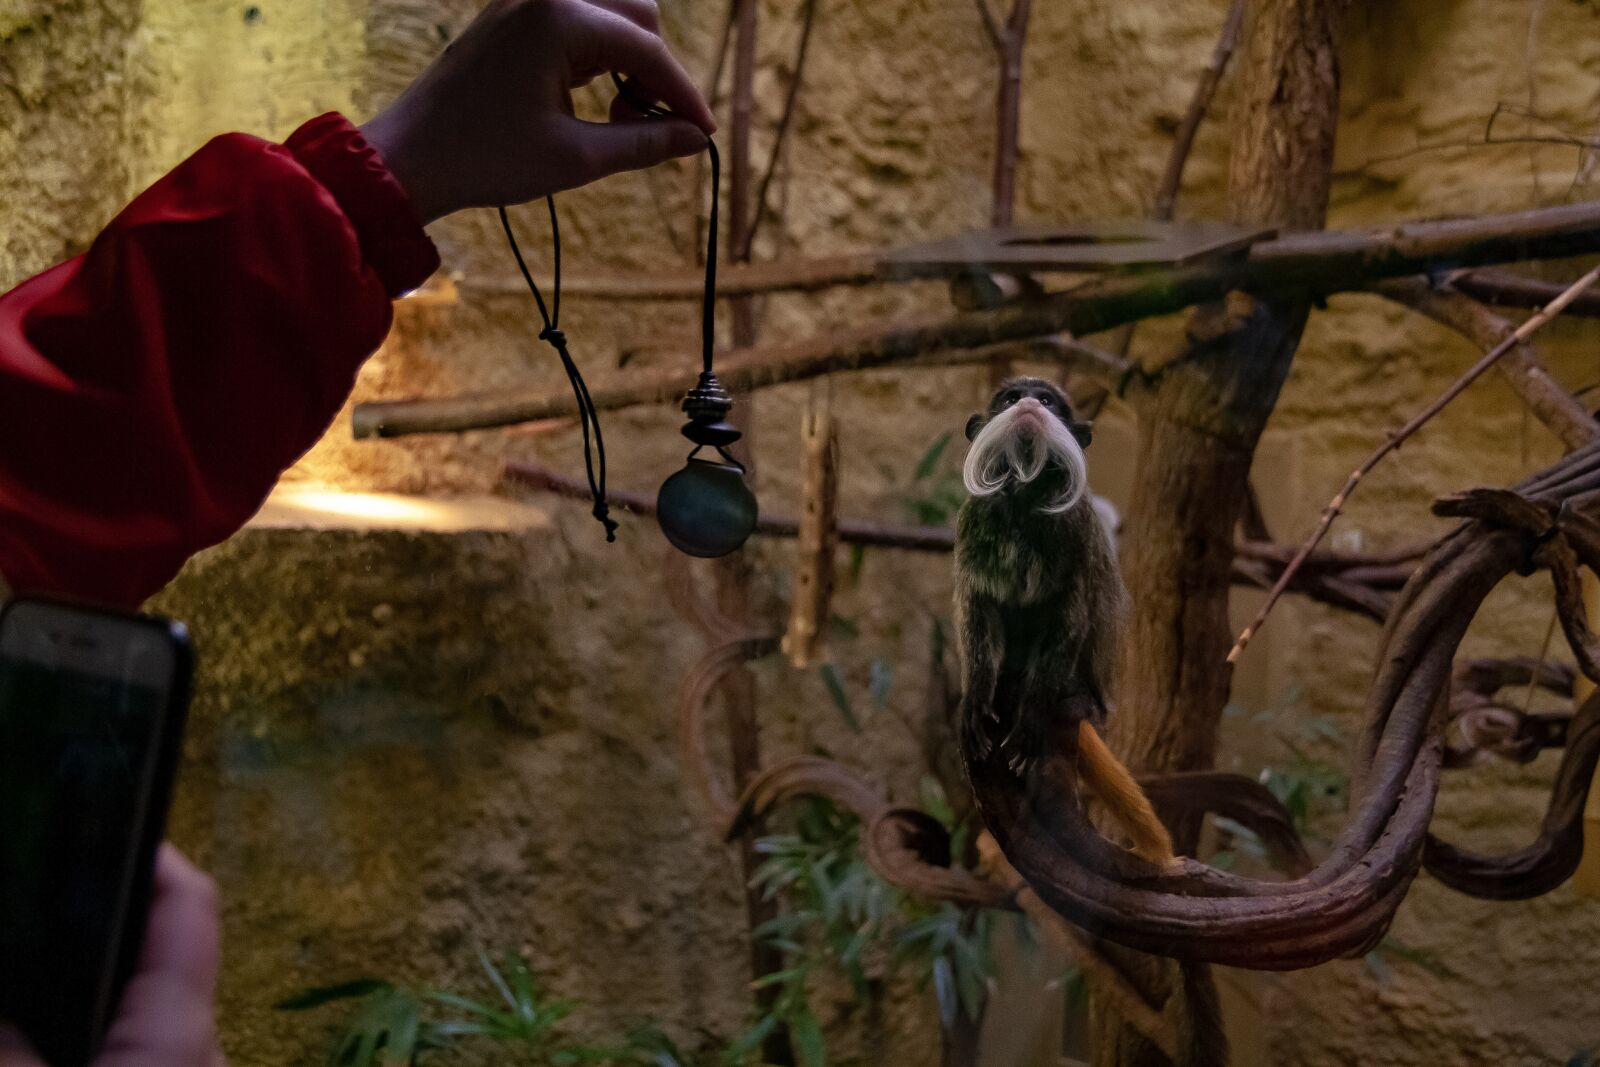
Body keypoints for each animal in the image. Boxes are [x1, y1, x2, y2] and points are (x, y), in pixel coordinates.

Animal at [953, 377, 1175, 868]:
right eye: (1011, 399)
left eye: (1048, 401)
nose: (1029, 405)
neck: (1022, 498)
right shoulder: (971, 522)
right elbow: (977, 608)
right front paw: (975, 696)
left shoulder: (1074, 529)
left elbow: (1069, 613)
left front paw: (1033, 719)